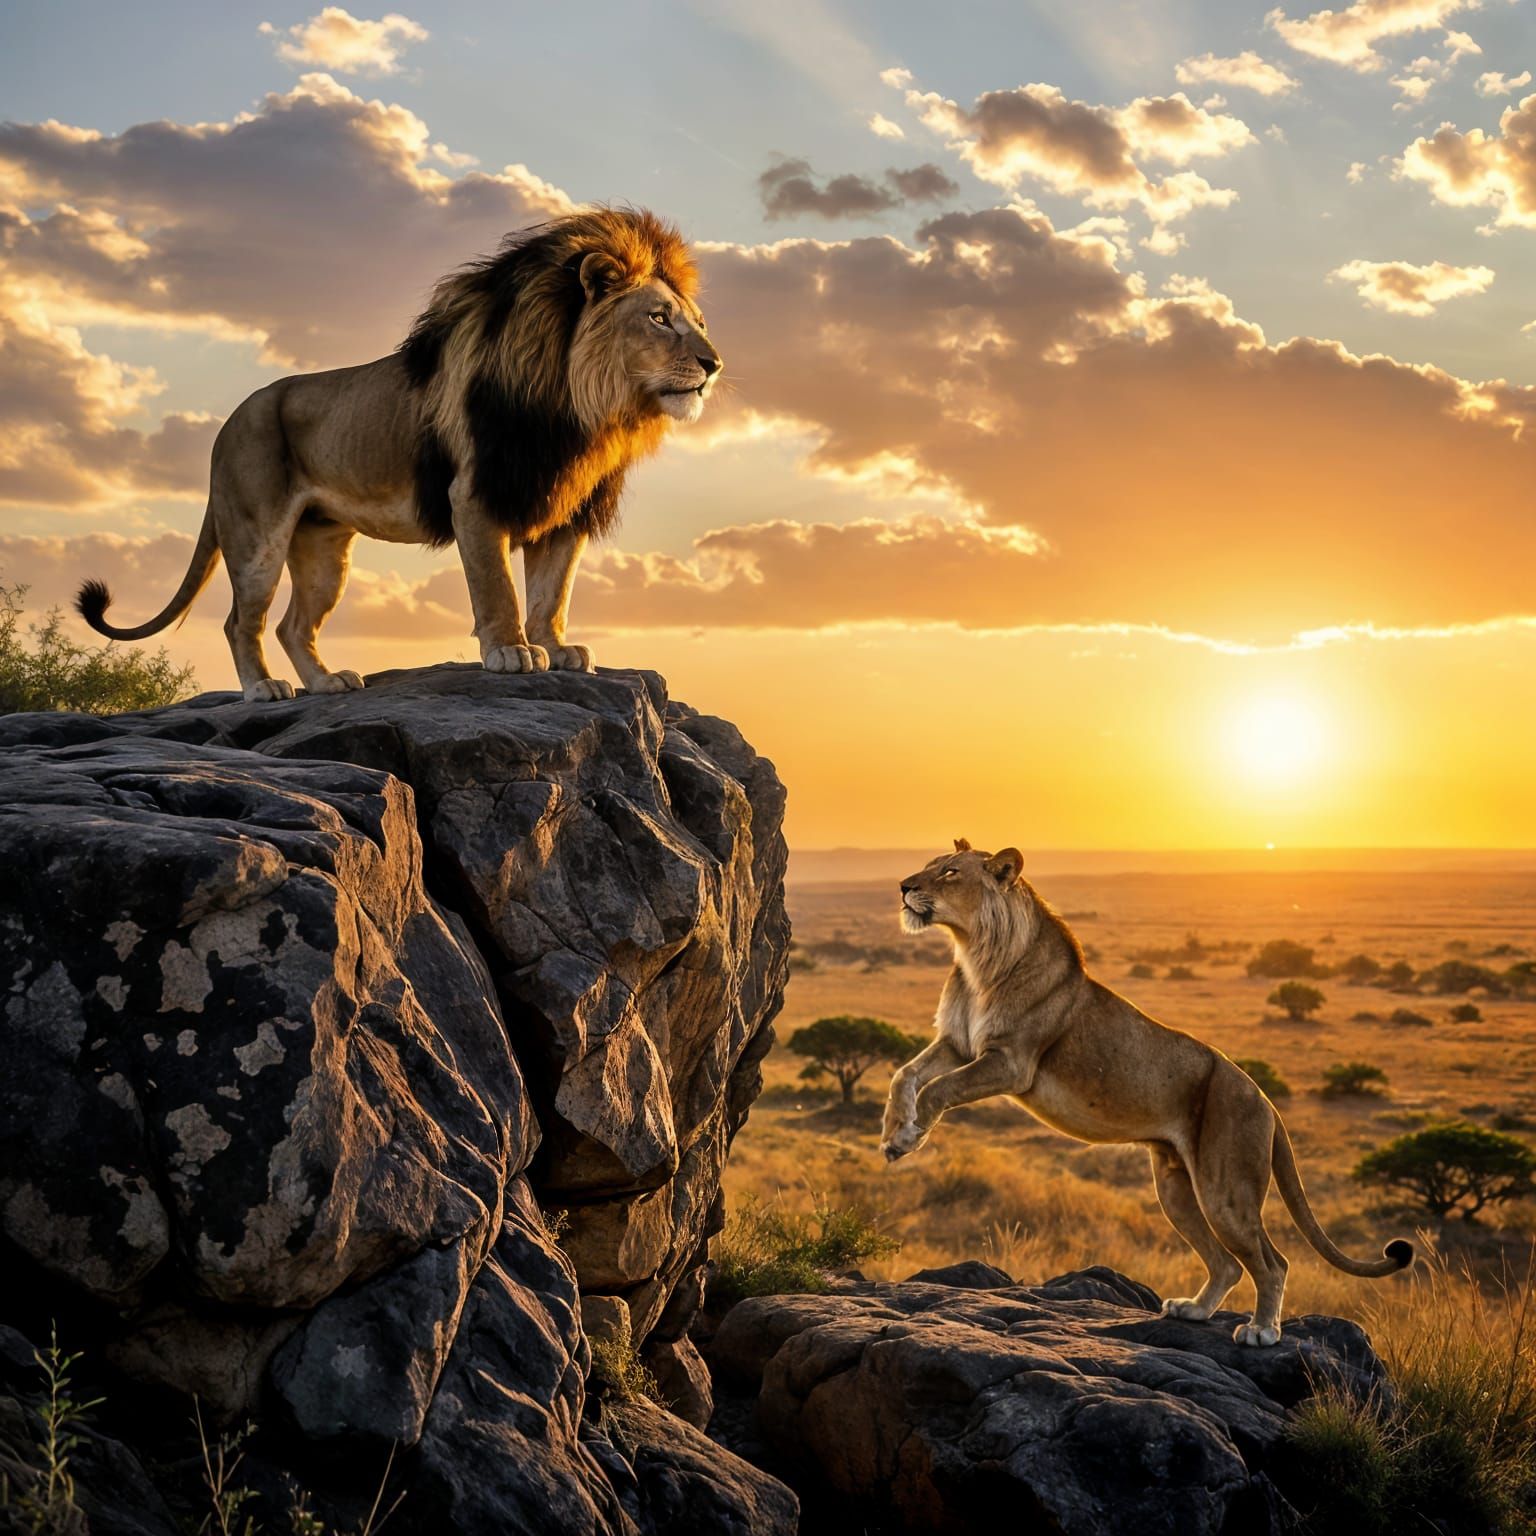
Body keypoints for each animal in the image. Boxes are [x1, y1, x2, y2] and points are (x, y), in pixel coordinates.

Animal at [75, 207, 722, 700]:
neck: (582, 408)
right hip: (256, 535)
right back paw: (263, 689)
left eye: (700, 322)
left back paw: (326, 683)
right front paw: (511, 651)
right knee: (243, 621)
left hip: (323, 550)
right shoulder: (476, 494)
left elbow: (552, 591)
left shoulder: (563, 503)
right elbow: (498, 586)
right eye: (658, 318)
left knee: (291, 625)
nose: (714, 364)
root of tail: (227, 423)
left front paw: (556, 647)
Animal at [881, 840, 1413, 1346]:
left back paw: (1262, 1330)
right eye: (931, 864)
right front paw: (892, 1136)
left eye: (951, 872)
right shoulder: (957, 1044)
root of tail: (1264, 1098)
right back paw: (1194, 1310)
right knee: (1227, 1262)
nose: (904, 886)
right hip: (1176, 1187)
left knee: (1271, 1261)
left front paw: (911, 1138)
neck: (975, 955)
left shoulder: (1012, 1062)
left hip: (1225, 1188)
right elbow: (905, 1076)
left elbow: (938, 1089)